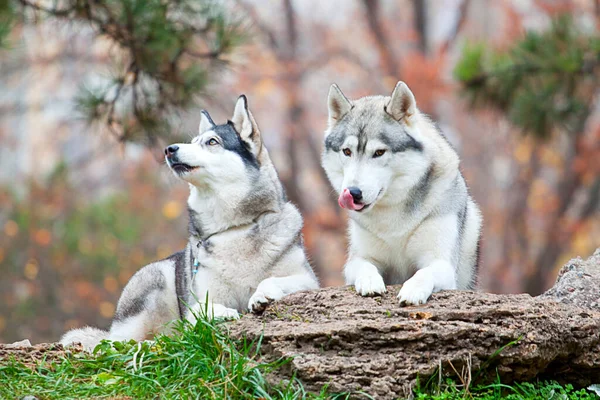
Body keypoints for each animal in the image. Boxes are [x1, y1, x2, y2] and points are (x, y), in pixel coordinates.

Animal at [62, 95, 318, 348]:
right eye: (193, 141)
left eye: (212, 142)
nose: (169, 149)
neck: (233, 229)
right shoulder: (196, 303)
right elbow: (202, 309)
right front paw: (221, 312)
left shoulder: (308, 280)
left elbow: (273, 280)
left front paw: (262, 294)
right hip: (155, 280)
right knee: (117, 342)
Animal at [322, 82, 480, 306]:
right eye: (347, 151)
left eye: (379, 152)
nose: (353, 193)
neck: (393, 220)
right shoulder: (358, 260)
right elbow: (365, 267)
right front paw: (370, 282)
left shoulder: (441, 263)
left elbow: (424, 273)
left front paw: (412, 291)